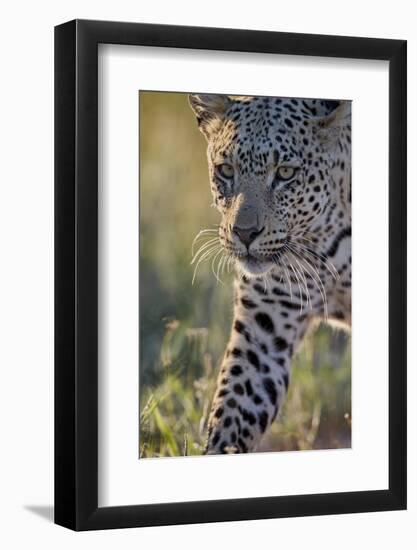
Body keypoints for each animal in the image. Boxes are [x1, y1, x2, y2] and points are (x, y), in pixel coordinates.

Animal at [189, 94, 352, 458]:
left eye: (286, 173)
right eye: (226, 170)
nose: (245, 234)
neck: (320, 240)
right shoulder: (262, 334)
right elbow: (231, 413)